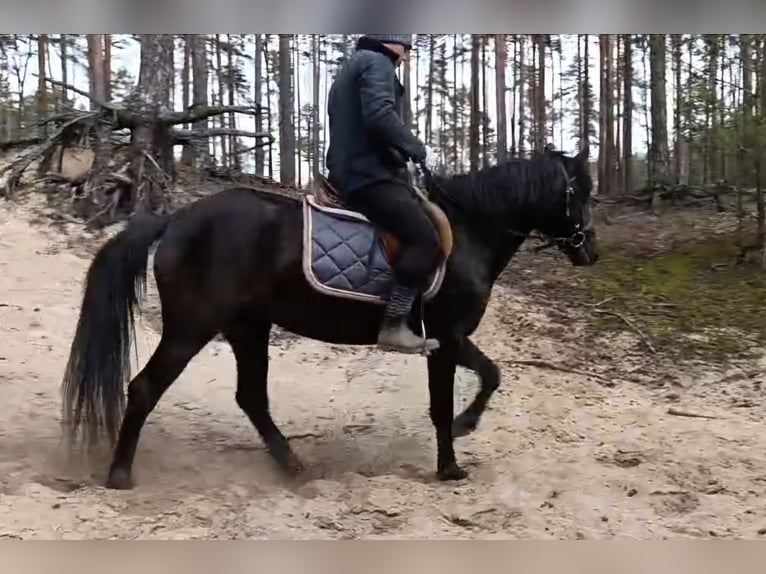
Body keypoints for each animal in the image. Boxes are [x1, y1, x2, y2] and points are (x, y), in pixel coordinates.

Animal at [60, 148, 600, 490]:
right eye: (580, 193)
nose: (591, 251)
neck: (470, 231)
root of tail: (176, 218)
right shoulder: (447, 338)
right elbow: (464, 391)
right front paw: (454, 458)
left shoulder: (448, 340)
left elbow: (485, 378)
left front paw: (461, 438)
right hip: (192, 326)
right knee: (145, 388)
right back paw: (120, 475)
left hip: (248, 327)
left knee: (251, 398)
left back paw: (293, 466)